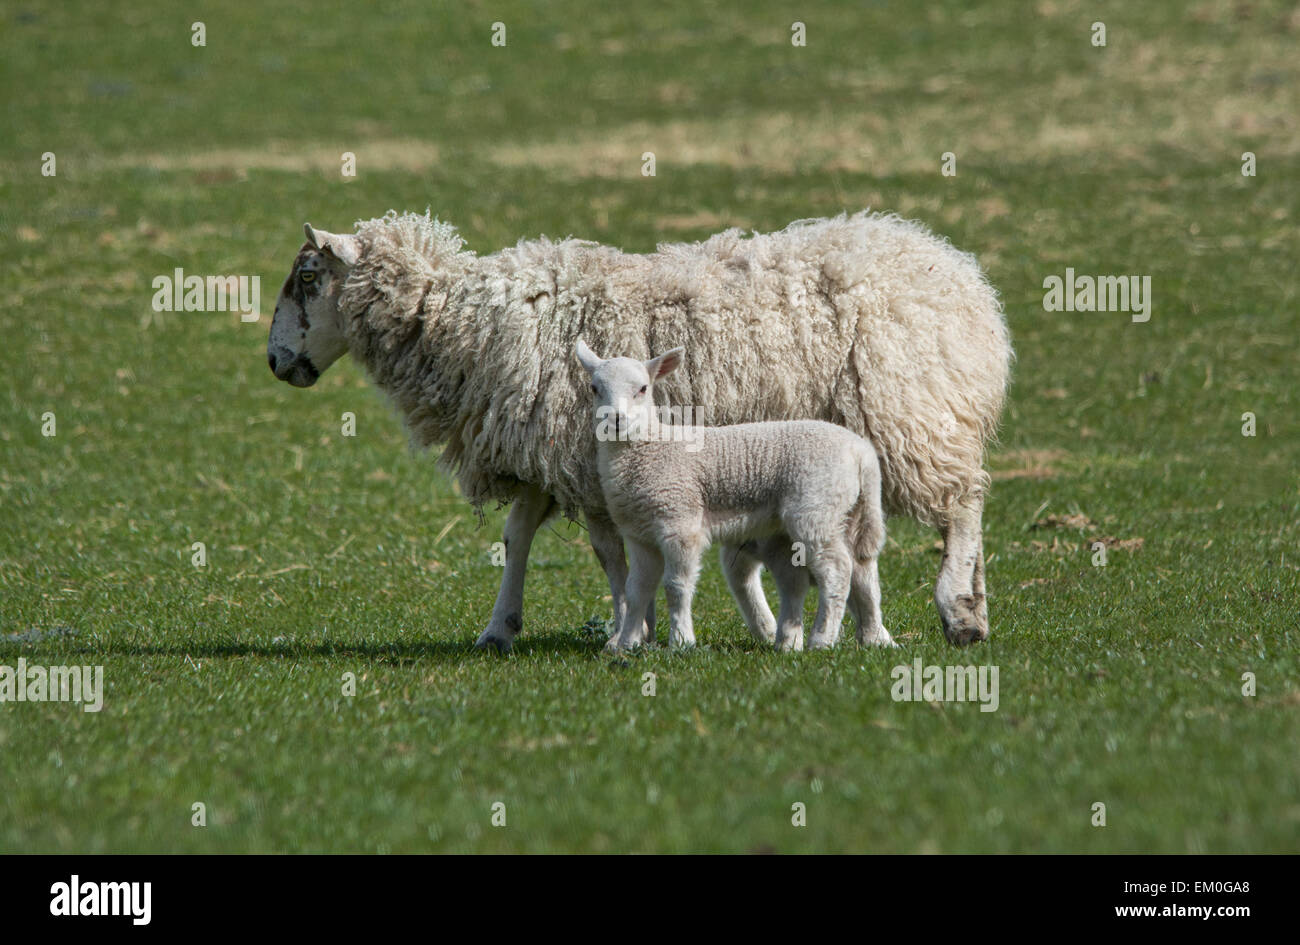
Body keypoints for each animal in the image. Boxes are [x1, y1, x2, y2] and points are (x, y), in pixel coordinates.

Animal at [577, 343, 894, 655]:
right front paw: (627, 643)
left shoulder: (679, 522)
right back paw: (868, 637)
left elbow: (675, 586)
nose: (615, 419)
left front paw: (681, 641)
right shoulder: (640, 535)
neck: (649, 449)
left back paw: (822, 639)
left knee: (837, 569)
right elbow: (637, 589)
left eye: (643, 388)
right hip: (847, 508)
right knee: (861, 569)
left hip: (815, 505)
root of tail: (861, 453)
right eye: (594, 388)